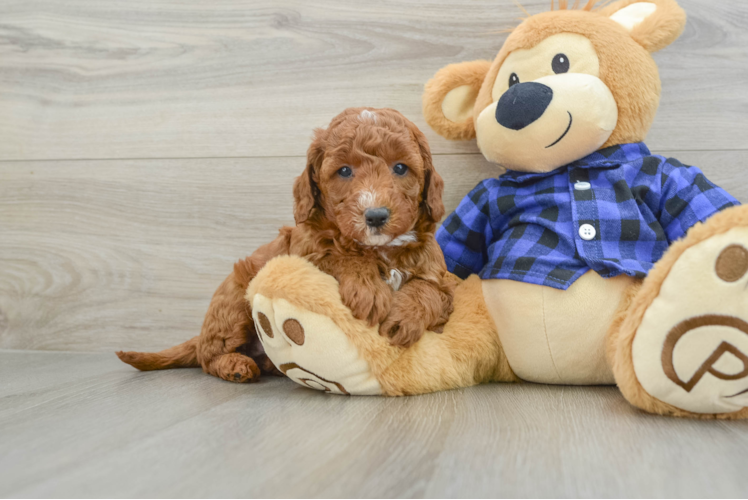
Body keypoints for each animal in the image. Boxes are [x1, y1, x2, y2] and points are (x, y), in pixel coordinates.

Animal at [117, 108, 456, 382]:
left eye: (400, 168)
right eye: (344, 171)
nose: (375, 215)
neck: (379, 248)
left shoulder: (439, 276)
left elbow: (430, 291)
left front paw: (404, 319)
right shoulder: (303, 254)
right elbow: (337, 255)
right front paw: (368, 288)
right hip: (235, 300)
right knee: (206, 357)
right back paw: (235, 366)